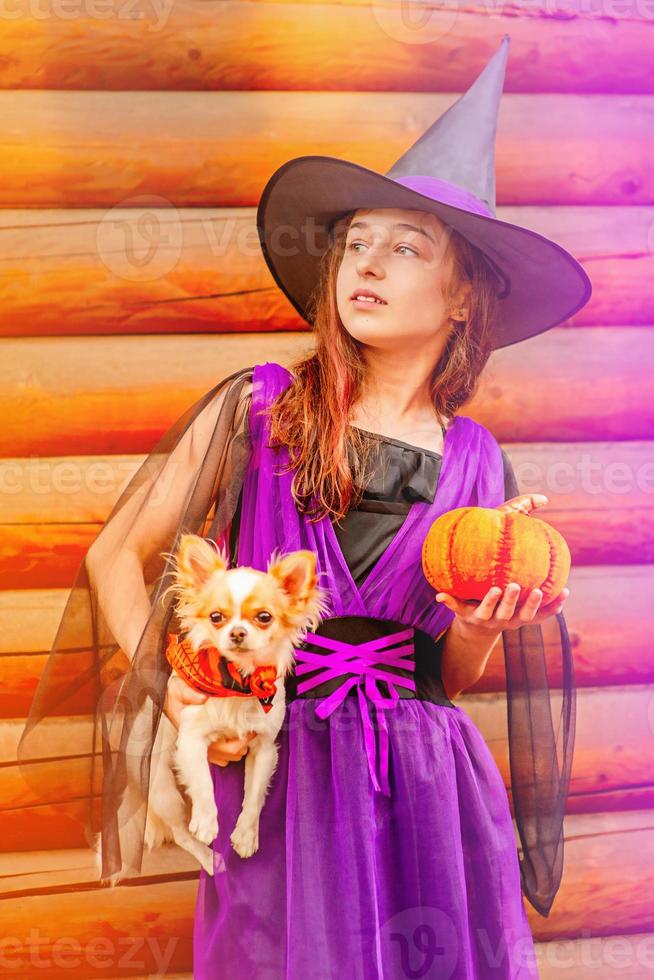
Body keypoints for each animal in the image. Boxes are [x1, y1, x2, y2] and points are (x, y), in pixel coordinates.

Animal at [95, 532, 330, 884]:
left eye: (264, 617)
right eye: (216, 617)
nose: (237, 632)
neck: (236, 680)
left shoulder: (264, 748)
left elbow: (254, 795)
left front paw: (246, 835)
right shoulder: (192, 739)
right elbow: (204, 783)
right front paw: (207, 822)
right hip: (163, 790)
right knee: (179, 833)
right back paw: (210, 858)